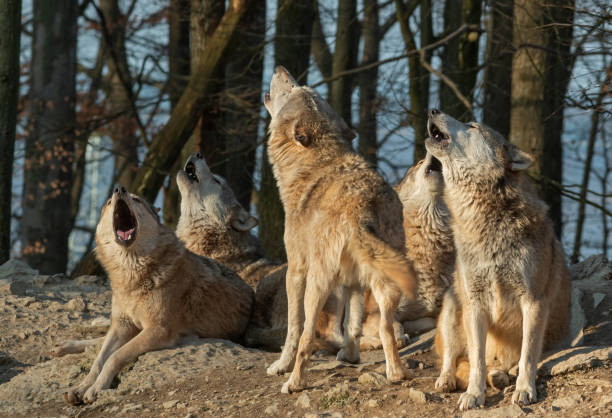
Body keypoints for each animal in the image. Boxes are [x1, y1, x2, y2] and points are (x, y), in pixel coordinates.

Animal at [62, 188, 253, 404]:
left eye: (136, 199)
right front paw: (81, 387)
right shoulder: (121, 325)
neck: (132, 272)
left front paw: (95, 389)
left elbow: (114, 357)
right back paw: (63, 346)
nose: (120, 189)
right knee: (99, 342)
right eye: (109, 202)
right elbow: (99, 360)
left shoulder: (158, 330)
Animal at [262, 65, 416, 392]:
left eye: (295, 89)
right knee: (386, 328)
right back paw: (396, 373)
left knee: (307, 336)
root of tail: (364, 205)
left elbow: (293, 329)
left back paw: (294, 382)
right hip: (386, 282)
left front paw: (280, 366)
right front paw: (350, 355)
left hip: (318, 284)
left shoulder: (295, 269)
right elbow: (353, 323)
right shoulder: (353, 281)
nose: (280, 68)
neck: (310, 163)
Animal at [426, 109, 572, 410]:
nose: (433, 110)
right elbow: (476, 361)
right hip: (453, 306)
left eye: (471, 125)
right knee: (452, 356)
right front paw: (474, 394)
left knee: (509, 364)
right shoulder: (475, 303)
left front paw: (525, 390)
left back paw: (504, 375)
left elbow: (528, 355)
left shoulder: (533, 301)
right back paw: (448, 380)